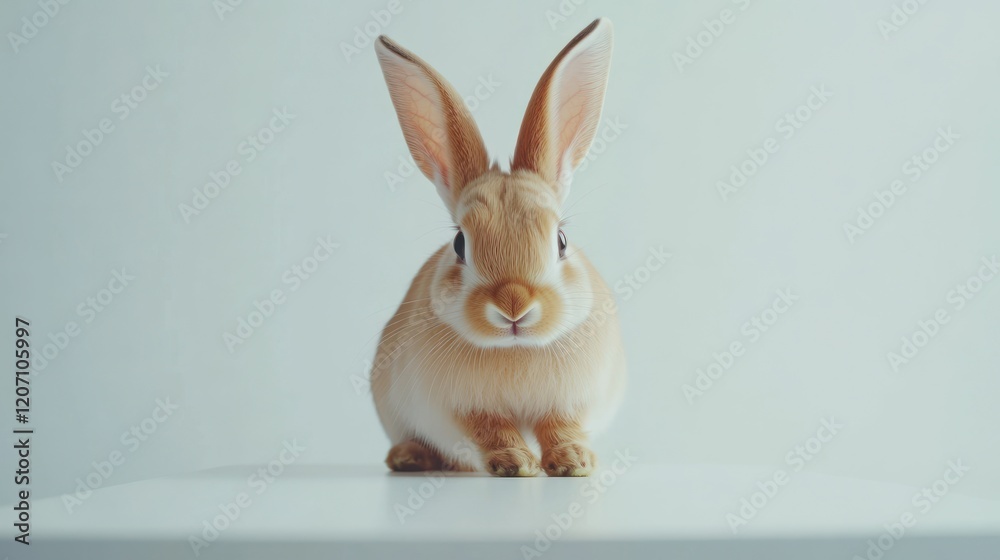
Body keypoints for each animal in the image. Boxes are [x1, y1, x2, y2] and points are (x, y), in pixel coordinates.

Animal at [371, 18, 625, 477]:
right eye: (459, 243)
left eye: (561, 241)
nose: (514, 304)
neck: (516, 349)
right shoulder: (462, 411)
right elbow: (492, 431)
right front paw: (515, 464)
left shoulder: (571, 404)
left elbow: (561, 427)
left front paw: (573, 462)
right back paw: (410, 458)